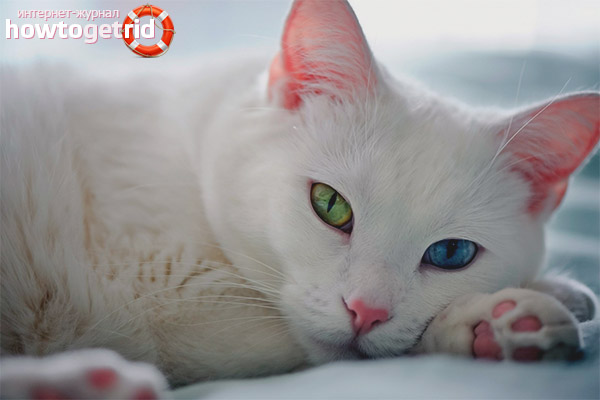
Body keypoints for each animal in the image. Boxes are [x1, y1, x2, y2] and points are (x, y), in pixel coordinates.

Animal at [1, 0, 599, 398]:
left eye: (451, 254)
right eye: (330, 205)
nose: (366, 311)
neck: (188, 151)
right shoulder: (167, 307)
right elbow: (340, 352)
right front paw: (506, 316)